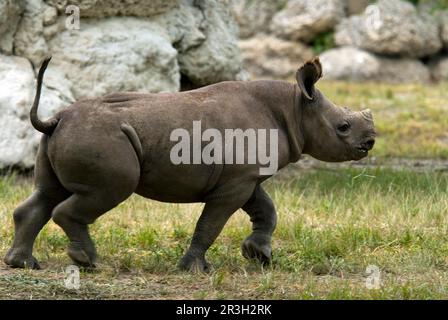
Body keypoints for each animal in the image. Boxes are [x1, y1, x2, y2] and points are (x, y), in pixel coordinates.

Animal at [4, 58, 374, 272]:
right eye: (343, 127)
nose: (370, 142)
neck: (294, 108)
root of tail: (54, 119)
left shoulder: (245, 178)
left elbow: (267, 210)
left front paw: (260, 257)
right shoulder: (235, 183)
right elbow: (210, 224)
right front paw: (194, 269)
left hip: (65, 137)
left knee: (46, 193)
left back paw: (24, 264)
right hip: (100, 138)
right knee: (108, 190)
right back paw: (90, 263)